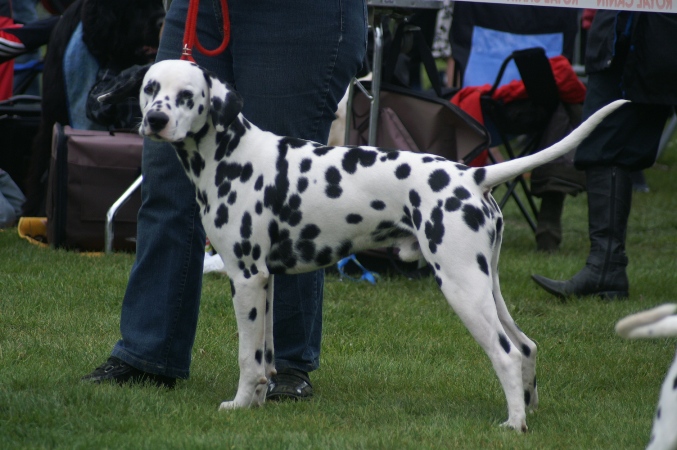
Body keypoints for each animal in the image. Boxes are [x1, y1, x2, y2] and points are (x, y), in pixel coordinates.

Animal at [100, 59, 624, 432]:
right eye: (150, 88)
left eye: (188, 96)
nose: (156, 119)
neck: (230, 155)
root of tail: (474, 174)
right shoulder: (267, 284)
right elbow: (265, 357)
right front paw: (261, 403)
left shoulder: (246, 279)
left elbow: (248, 359)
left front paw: (239, 404)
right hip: (485, 286)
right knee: (527, 345)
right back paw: (528, 410)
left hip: (462, 289)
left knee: (507, 352)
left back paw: (514, 424)